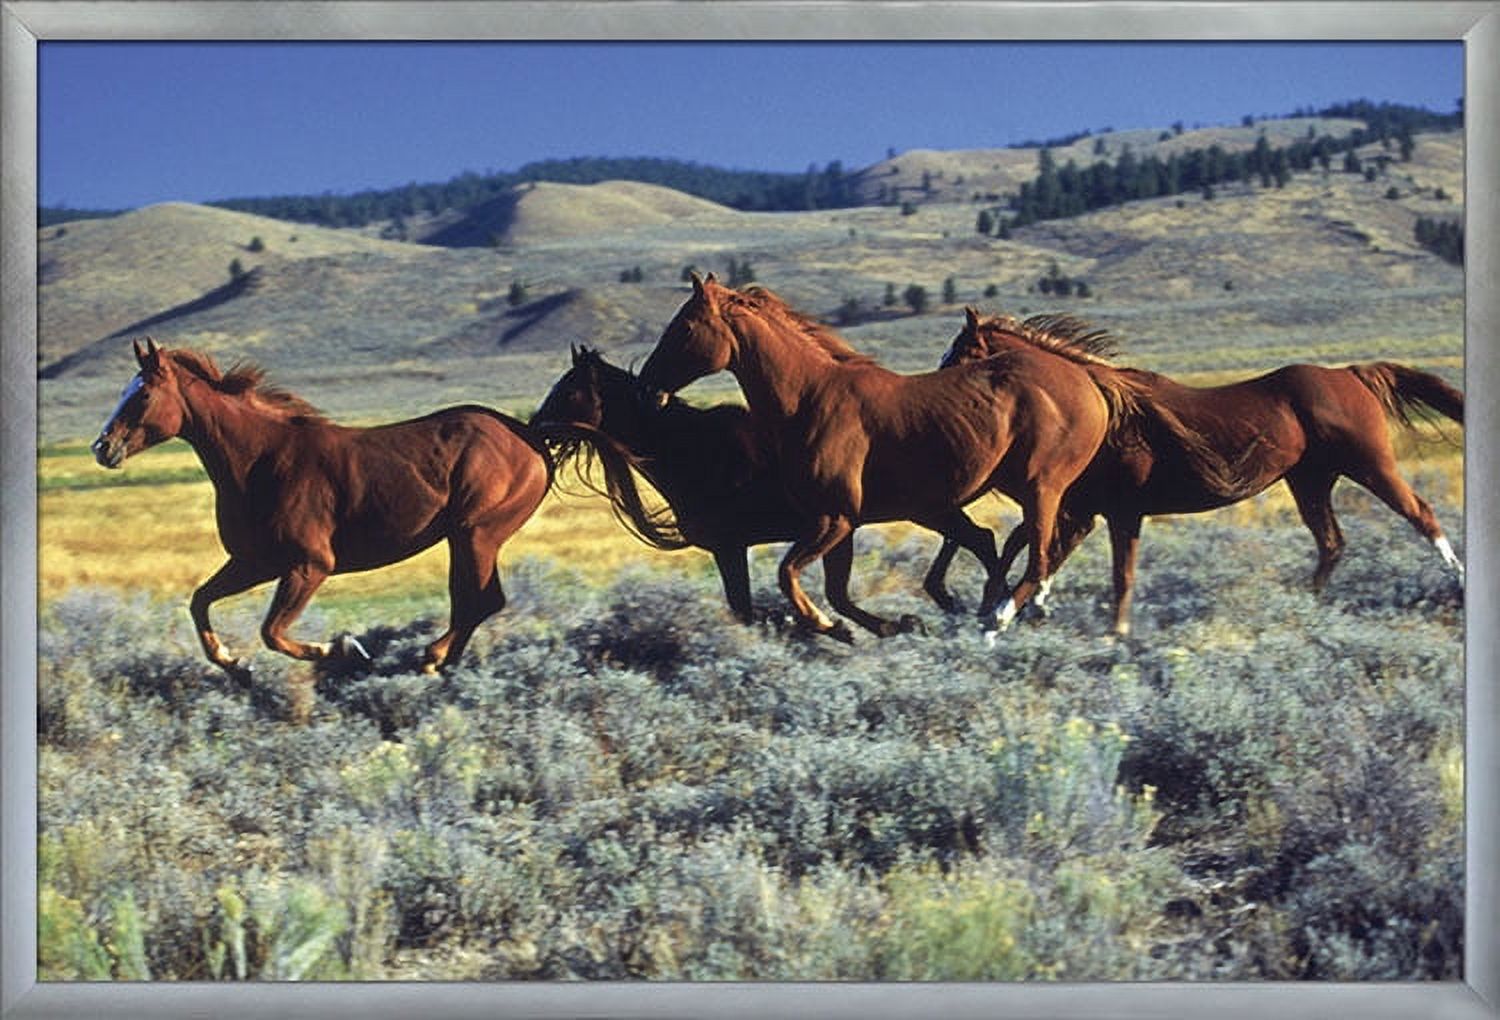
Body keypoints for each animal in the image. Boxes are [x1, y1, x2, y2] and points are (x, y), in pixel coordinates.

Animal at [91, 338, 553, 677]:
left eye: (143, 394)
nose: (102, 447)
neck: (260, 460)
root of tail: (530, 436)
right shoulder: (254, 562)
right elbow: (200, 601)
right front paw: (235, 665)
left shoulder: (309, 565)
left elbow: (272, 632)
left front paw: (344, 648)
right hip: (469, 538)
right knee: (475, 601)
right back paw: (440, 662)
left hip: (475, 534)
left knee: (479, 601)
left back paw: (430, 658)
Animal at [530, 345, 977, 636]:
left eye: (569, 390)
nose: (536, 429)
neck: (692, 450)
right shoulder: (814, 535)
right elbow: (816, 598)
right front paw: (877, 625)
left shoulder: (731, 547)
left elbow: (756, 609)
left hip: (929, 508)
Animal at [636, 273, 1134, 641]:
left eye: (684, 328)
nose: (647, 386)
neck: (810, 399)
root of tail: (1090, 381)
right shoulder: (839, 523)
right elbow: (831, 588)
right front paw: (868, 626)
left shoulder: (833, 518)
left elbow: (787, 574)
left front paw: (826, 624)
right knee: (1018, 546)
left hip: (1040, 487)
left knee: (1038, 555)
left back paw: (999, 617)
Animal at [931, 307, 1466, 634]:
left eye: (963, 352)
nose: (936, 393)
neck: (1107, 409)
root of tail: (1352, 373)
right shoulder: (1084, 510)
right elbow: (1041, 553)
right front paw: (1019, 608)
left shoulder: (1118, 511)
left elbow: (1117, 574)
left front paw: (1110, 634)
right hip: (1311, 481)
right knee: (1332, 542)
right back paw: (1304, 606)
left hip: (1369, 464)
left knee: (1419, 512)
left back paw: (1457, 581)